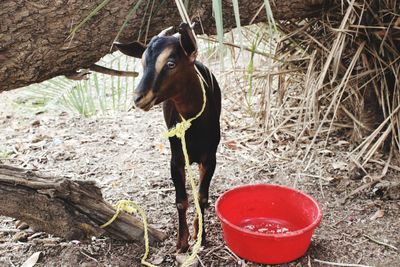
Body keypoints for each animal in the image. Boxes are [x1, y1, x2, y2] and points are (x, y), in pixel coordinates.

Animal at [114, 23, 222, 253]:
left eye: (171, 63)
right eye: (143, 63)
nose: (138, 98)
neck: (193, 126)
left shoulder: (210, 158)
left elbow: (202, 197)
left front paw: (202, 237)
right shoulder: (176, 159)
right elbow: (181, 200)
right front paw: (182, 242)